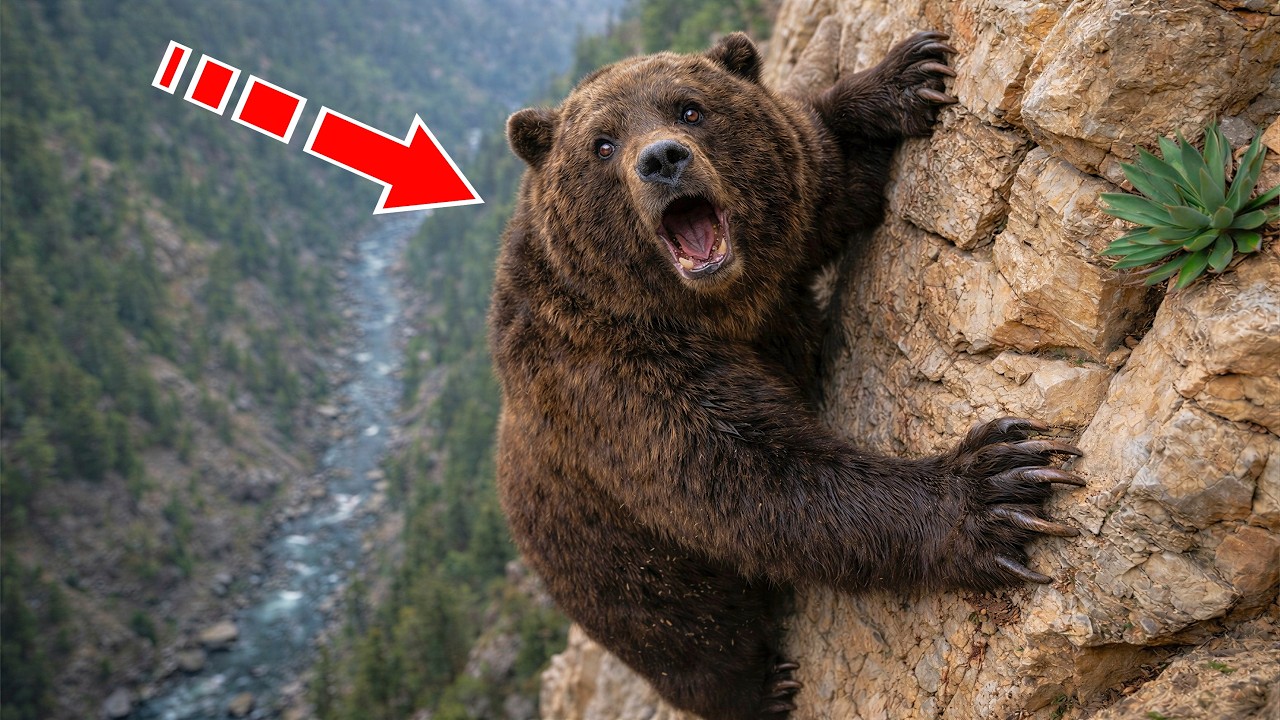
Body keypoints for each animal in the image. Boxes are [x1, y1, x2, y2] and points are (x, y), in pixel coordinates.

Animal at [489, 31, 1083, 720]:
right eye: (602, 144)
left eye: (690, 108)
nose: (662, 159)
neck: (714, 307)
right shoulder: (610, 375)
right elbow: (747, 478)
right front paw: (994, 487)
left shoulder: (790, 233)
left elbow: (825, 165)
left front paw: (903, 77)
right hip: (611, 568)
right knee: (684, 630)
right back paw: (758, 688)